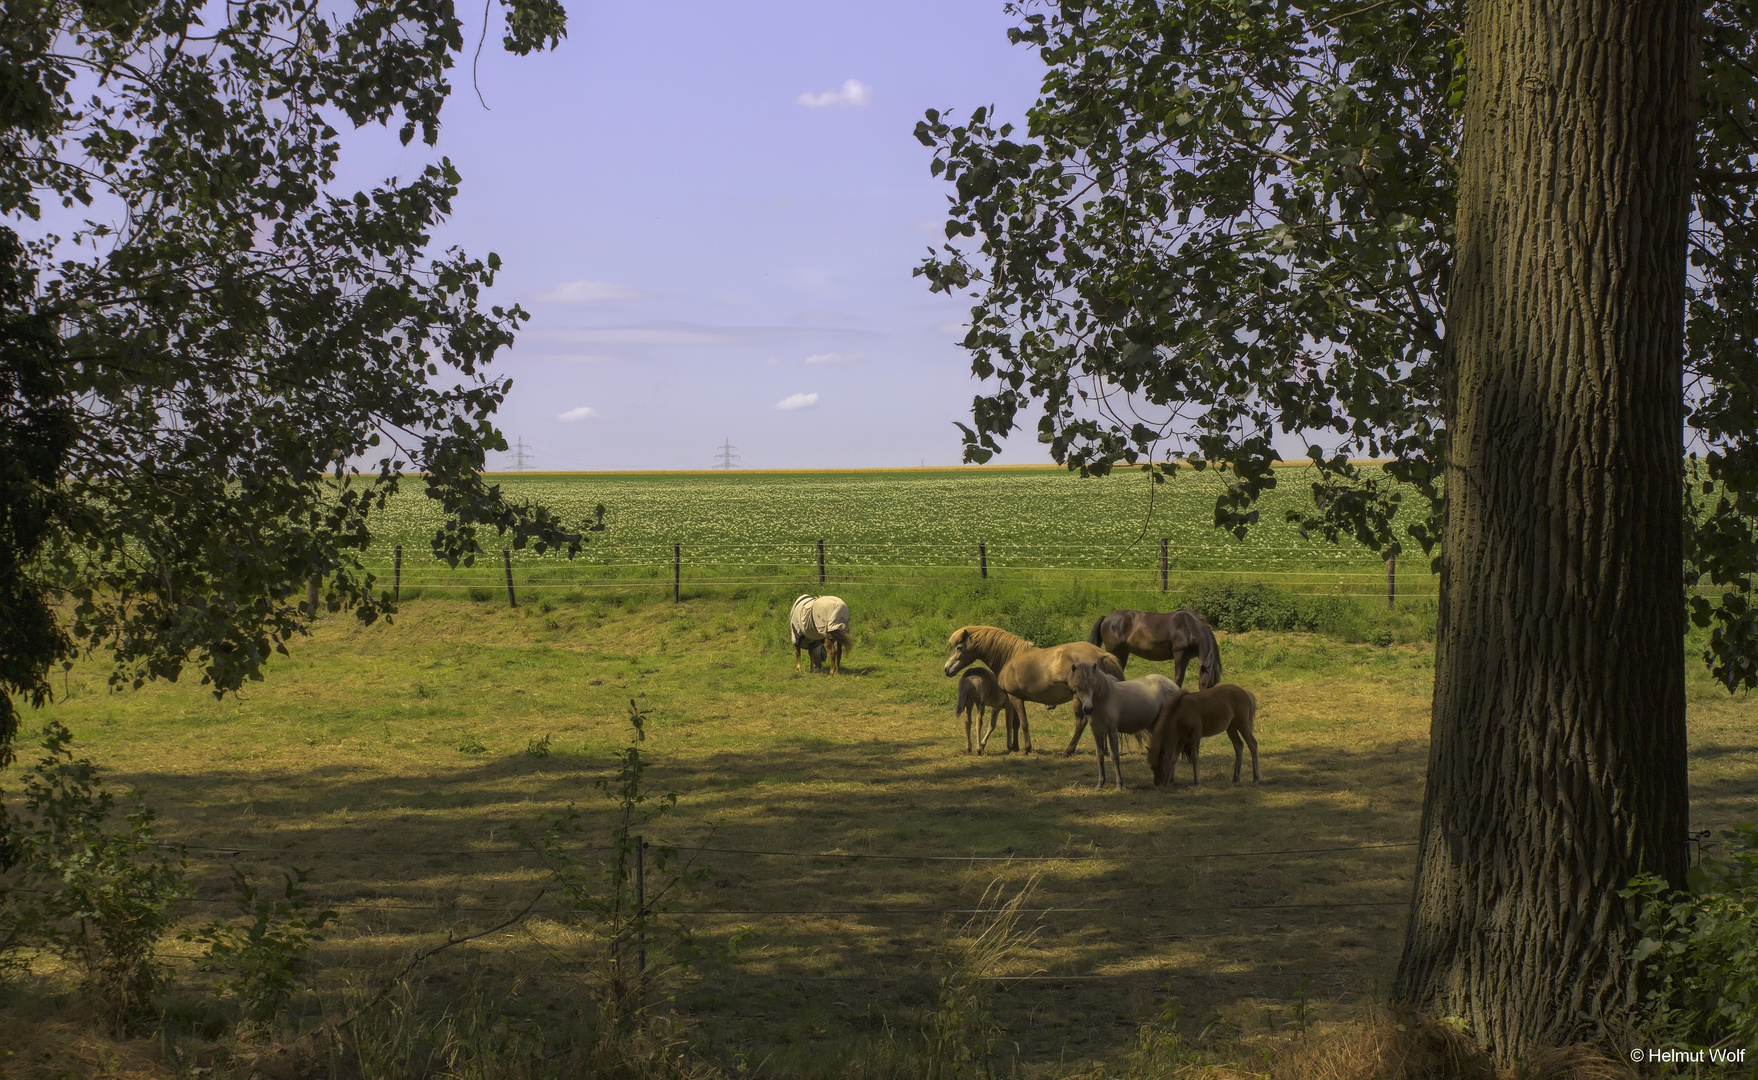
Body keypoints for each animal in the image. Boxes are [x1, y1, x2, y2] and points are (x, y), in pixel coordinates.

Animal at [942, 629, 1118, 756]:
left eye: (959, 647)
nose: (946, 669)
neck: (1010, 658)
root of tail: (1101, 654)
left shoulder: (1014, 698)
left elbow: (1023, 723)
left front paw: (1026, 749)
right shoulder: (1016, 699)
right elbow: (1015, 724)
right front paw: (1015, 746)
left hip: (1079, 698)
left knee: (1080, 723)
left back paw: (1068, 751)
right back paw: (1104, 750)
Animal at [1082, 612, 1223, 689]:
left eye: (1212, 684)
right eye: (1203, 683)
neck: (1189, 627)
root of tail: (1106, 618)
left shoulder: (1186, 657)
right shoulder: (1180, 654)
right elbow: (1178, 678)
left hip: (1123, 653)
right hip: (1114, 652)